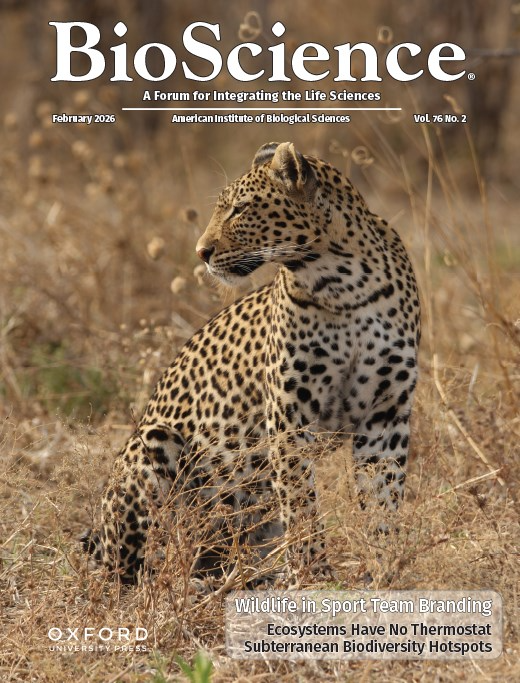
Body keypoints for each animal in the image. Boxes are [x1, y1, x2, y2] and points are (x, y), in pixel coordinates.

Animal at [83, 141, 421, 587]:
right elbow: (301, 504)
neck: (344, 282)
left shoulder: (386, 413)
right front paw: (312, 579)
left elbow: (383, 498)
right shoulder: (289, 417)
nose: (201, 252)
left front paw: (386, 567)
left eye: (239, 210)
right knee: (139, 568)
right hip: (153, 446)